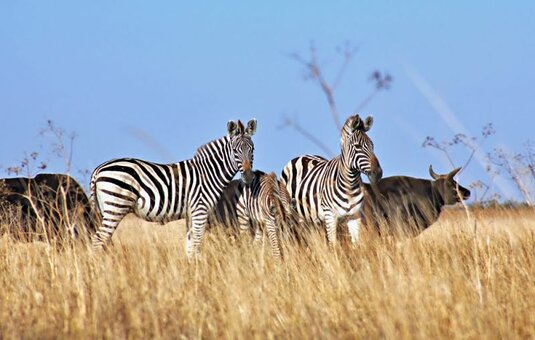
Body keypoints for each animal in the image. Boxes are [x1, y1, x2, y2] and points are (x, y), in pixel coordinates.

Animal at [90, 119, 258, 258]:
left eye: (252, 149)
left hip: (106, 208)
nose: (249, 176)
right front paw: (199, 271)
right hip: (117, 205)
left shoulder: (191, 213)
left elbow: (189, 245)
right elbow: (197, 244)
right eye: (235, 150)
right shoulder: (200, 209)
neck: (208, 172)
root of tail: (98, 169)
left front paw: (191, 269)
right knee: (98, 239)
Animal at [278, 114, 384, 247]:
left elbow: (356, 244)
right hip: (289, 213)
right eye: (357, 146)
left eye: (372, 145)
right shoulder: (330, 216)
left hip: (312, 218)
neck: (350, 183)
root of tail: (301, 156)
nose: (378, 173)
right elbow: (333, 245)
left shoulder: (354, 216)